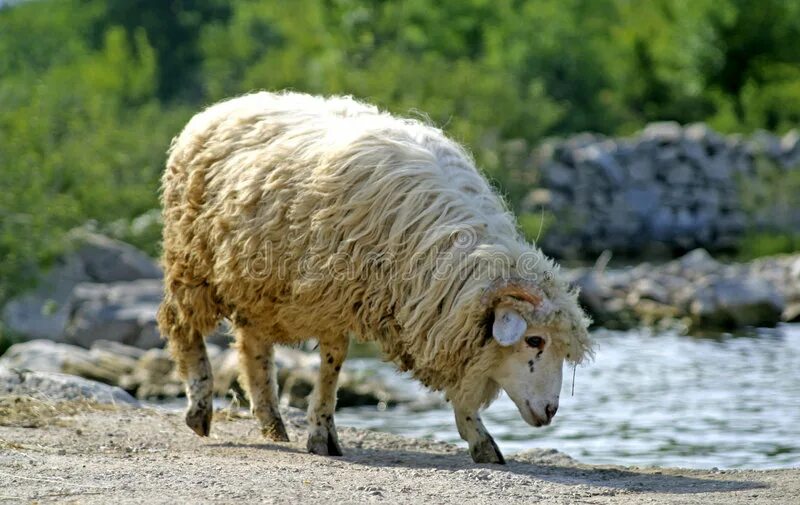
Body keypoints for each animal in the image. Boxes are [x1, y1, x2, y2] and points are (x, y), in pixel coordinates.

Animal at [158, 91, 592, 464]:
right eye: (534, 340)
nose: (551, 411)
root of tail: (225, 105)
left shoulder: (439, 317)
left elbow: (459, 385)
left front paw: (480, 439)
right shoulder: (332, 295)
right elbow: (333, 365)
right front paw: (323, 433)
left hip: (256, 283)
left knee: (253, 348)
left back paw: (272, 422)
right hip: (191, 261)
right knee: (182, 327)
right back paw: (200, 408)